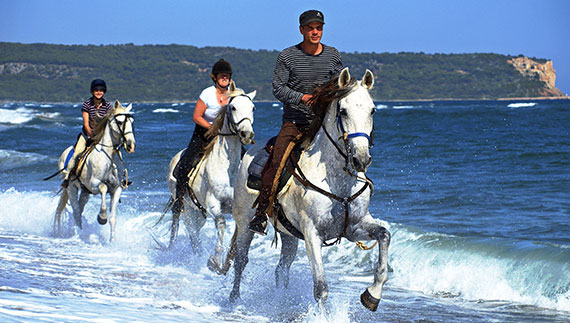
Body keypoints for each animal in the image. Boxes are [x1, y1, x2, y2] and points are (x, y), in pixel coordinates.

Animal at [53, 101, 135, 243]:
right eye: (119, 122)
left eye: (131, 121)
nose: (131, 145)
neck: (108, 157)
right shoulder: (94, 184)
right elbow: (103, 188)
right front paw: (101, 217)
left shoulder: (116, 189)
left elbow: (113, 218)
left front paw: (112, 241)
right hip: (71, 187)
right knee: (76, 211)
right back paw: (80, 235)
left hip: (85, 192)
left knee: (80, 209)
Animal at [164, 83, 253, 274]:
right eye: (233, 107)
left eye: (253, 108)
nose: (246, 134)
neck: (228, 169)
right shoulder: (213, 204)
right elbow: (221, 224)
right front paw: (215, 261)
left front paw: (226, 263)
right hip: (187, 209)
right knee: (193, 234)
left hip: (200, 213)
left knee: (196, 233)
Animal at [229, 67, 388, 312]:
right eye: (343, 111)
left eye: (372, 110)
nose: (361, 159)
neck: (337, 181)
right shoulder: (312, 233)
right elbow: (320, 288)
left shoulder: (354, 227)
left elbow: (384, 236)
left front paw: (372, 295)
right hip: (245, 223)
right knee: (240, 261)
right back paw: (234, 301)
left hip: (289, 236)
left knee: (281, 270)